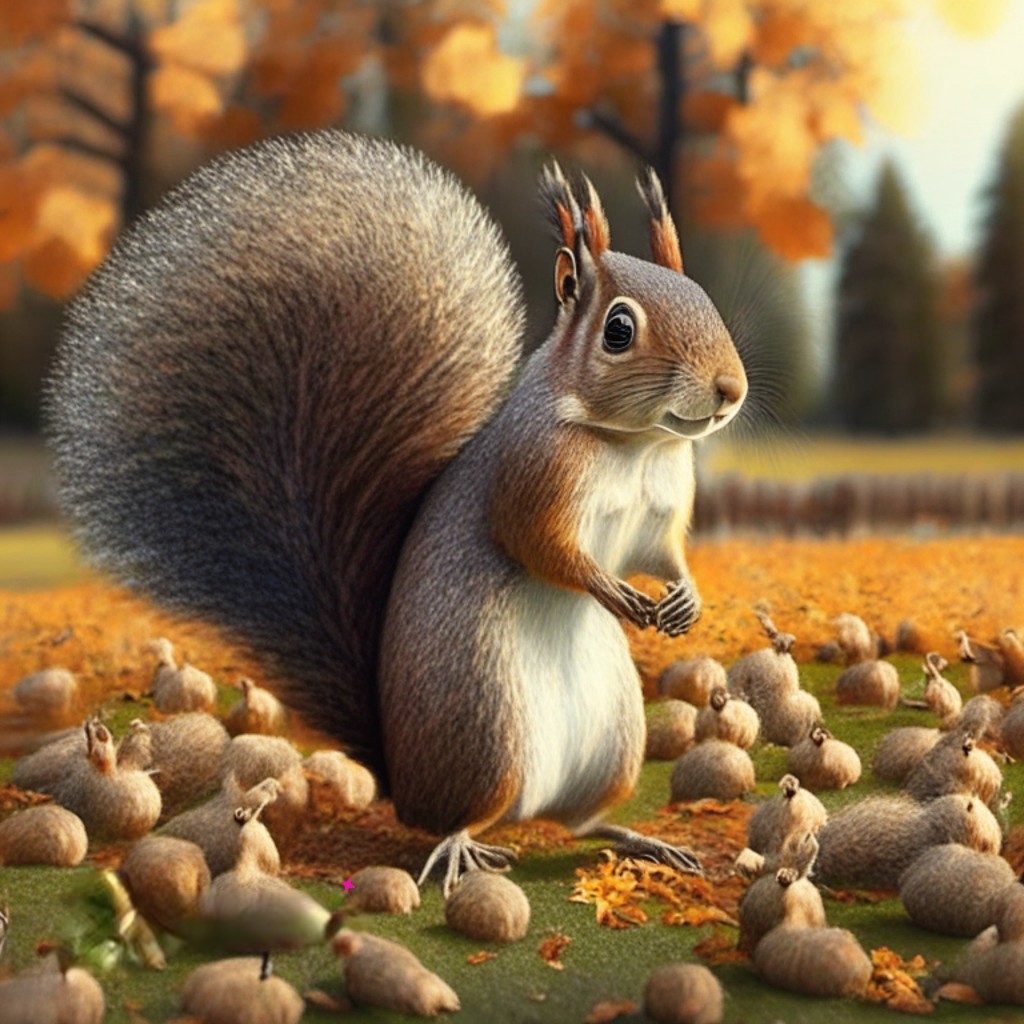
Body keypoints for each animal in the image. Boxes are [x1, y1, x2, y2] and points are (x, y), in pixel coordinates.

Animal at [47, 131, 747, 892]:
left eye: (708, 300)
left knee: (581, 821)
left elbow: (664, 551)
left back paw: (641, 840)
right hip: (486, 728)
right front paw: (613, 593)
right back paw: (460, 848)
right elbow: (542, 545)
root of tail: (400, 782)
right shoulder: (529, 476)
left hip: (612, 742)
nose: (730, 390)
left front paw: (684, 598)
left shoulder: (661, 510)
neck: (634, 444)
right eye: (619, 330)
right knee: (463, 815)